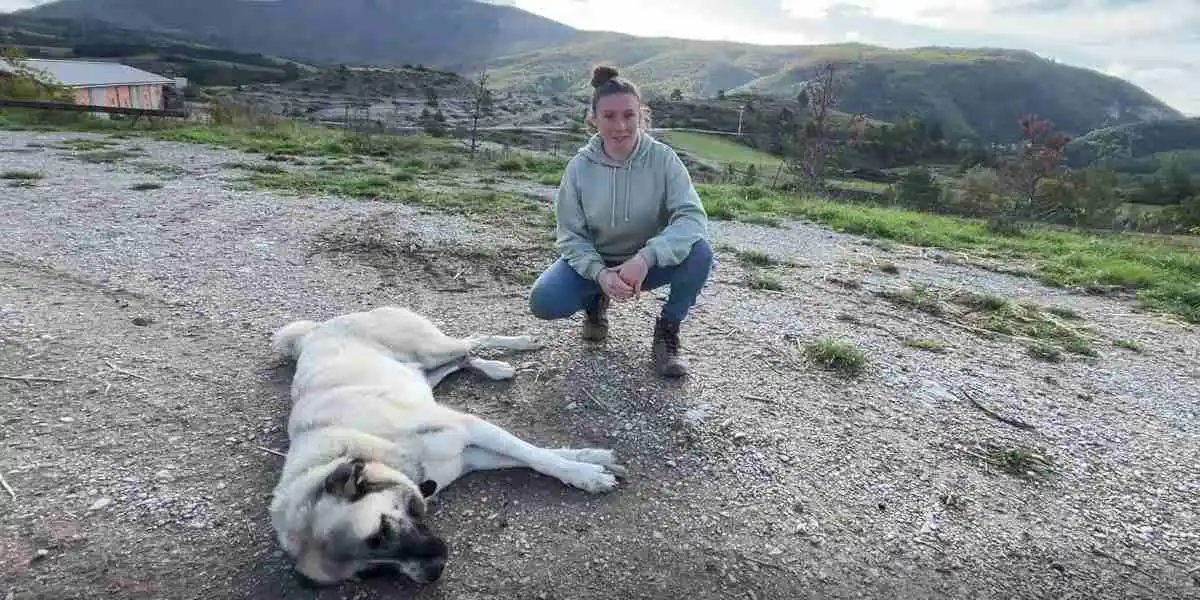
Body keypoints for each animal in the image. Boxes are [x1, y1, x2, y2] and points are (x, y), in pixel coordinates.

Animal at [266, 307, 628, 588]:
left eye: (382, 529)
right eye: (370, 572)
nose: (433, 573)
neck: (376, 448)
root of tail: (315, 330)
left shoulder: (469, 426)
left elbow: (534, 455)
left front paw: (586, 473)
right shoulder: (469, 455)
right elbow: (531, 456)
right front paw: (593, 461)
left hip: (431, 349)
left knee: (471, 340)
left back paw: (520, 345)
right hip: (427, 373)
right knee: (464, 357)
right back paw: (494, 367)